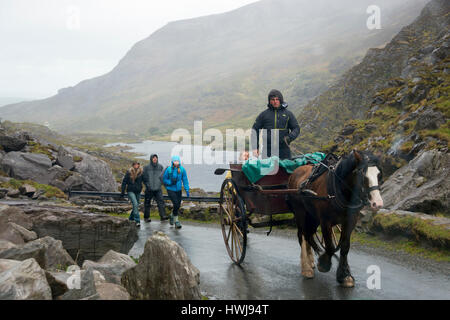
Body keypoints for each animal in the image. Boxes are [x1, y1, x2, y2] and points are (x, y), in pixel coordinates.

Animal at [288, 150, 384, 288]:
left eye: (378, 174)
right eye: (362, 174)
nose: (378, 203)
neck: (340, 189)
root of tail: (296, 171)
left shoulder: (350, 220)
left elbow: (344, 246)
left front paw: (344, 275)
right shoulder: (325, 221)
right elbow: (330, 246)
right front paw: (324, 263)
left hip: (312, 215)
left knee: (309, 234)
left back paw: (310, 261)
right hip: (300, 212)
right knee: (302, 235)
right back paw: (306, 268)